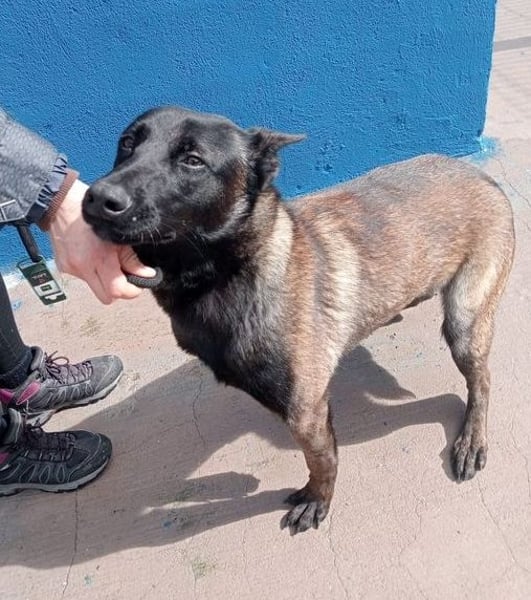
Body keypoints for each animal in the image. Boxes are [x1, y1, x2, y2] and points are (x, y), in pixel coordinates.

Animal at [82, 106, 515, 535]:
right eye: (127, 143)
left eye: (193, 160)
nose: (97, 198)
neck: (232, 273)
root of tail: (480, 175)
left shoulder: (306, 413)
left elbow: (321, 460)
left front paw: (317, 499)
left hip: (464, 322)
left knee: (481, 381)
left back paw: (472, 439)